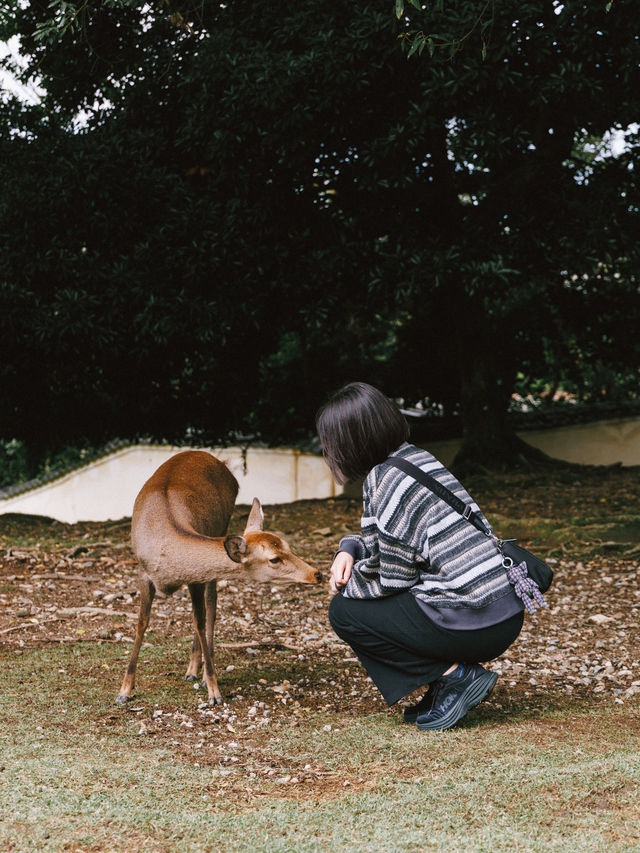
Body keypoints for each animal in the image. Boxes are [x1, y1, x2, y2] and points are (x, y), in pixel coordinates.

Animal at [116, 450, 320, 704]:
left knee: (211, 604)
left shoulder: (194, 577)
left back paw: (199, 672)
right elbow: (142, 623)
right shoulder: (143, 573)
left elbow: (200, 620)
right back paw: (192, 671)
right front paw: (124, 690)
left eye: (288, 546)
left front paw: (213, 690)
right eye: (274, 558)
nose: (317, 574)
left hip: (222, 524)